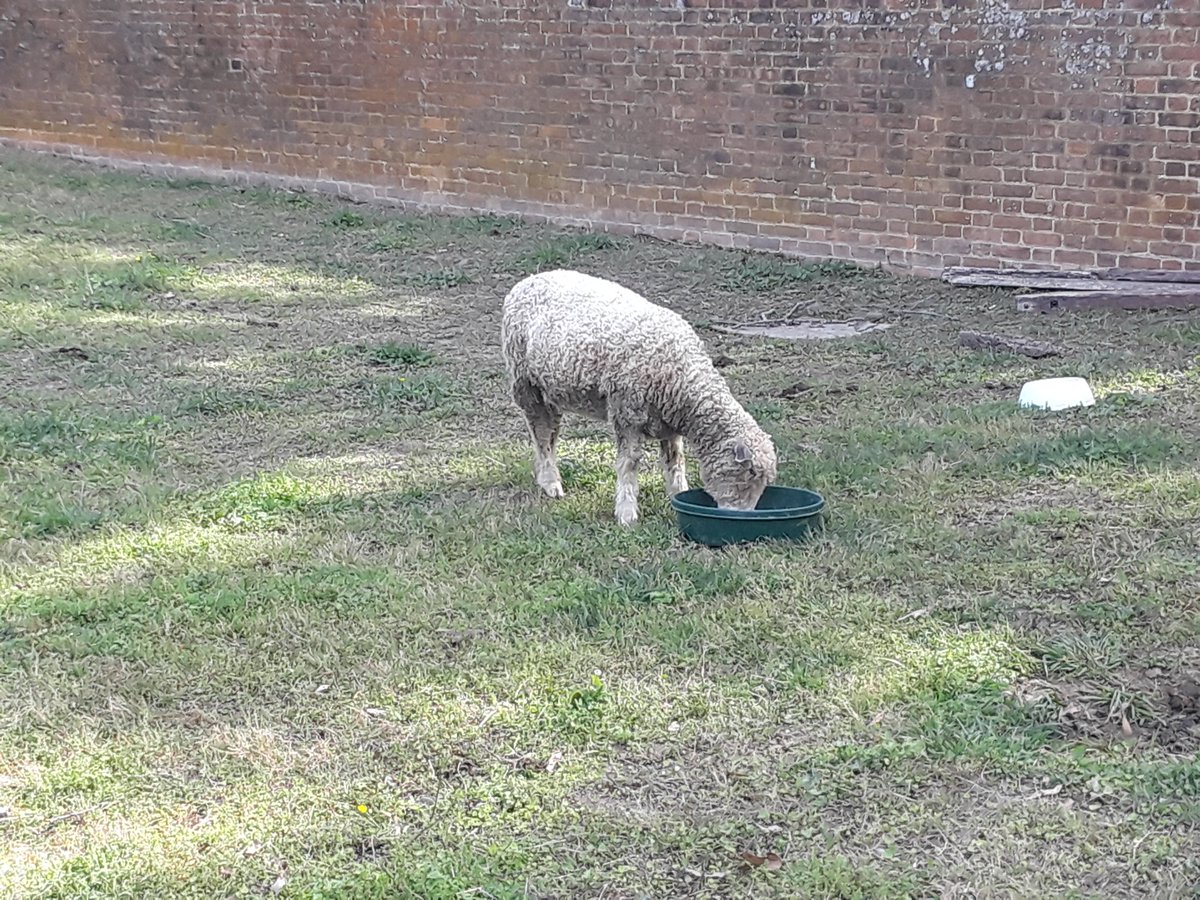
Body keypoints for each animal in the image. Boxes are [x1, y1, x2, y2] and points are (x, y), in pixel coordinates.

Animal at [500, 268, 777, 526]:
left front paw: (677, 494)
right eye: (748, 474)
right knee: (541, 435)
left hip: (552, 392)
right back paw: (551, 483)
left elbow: (675, 461)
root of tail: (529, 279)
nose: (742, 517)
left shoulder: (668, 422)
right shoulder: (626, 413)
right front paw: (626, 512)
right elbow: (629, 463)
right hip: (527, 385)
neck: (681, 378)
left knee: (550, 434)